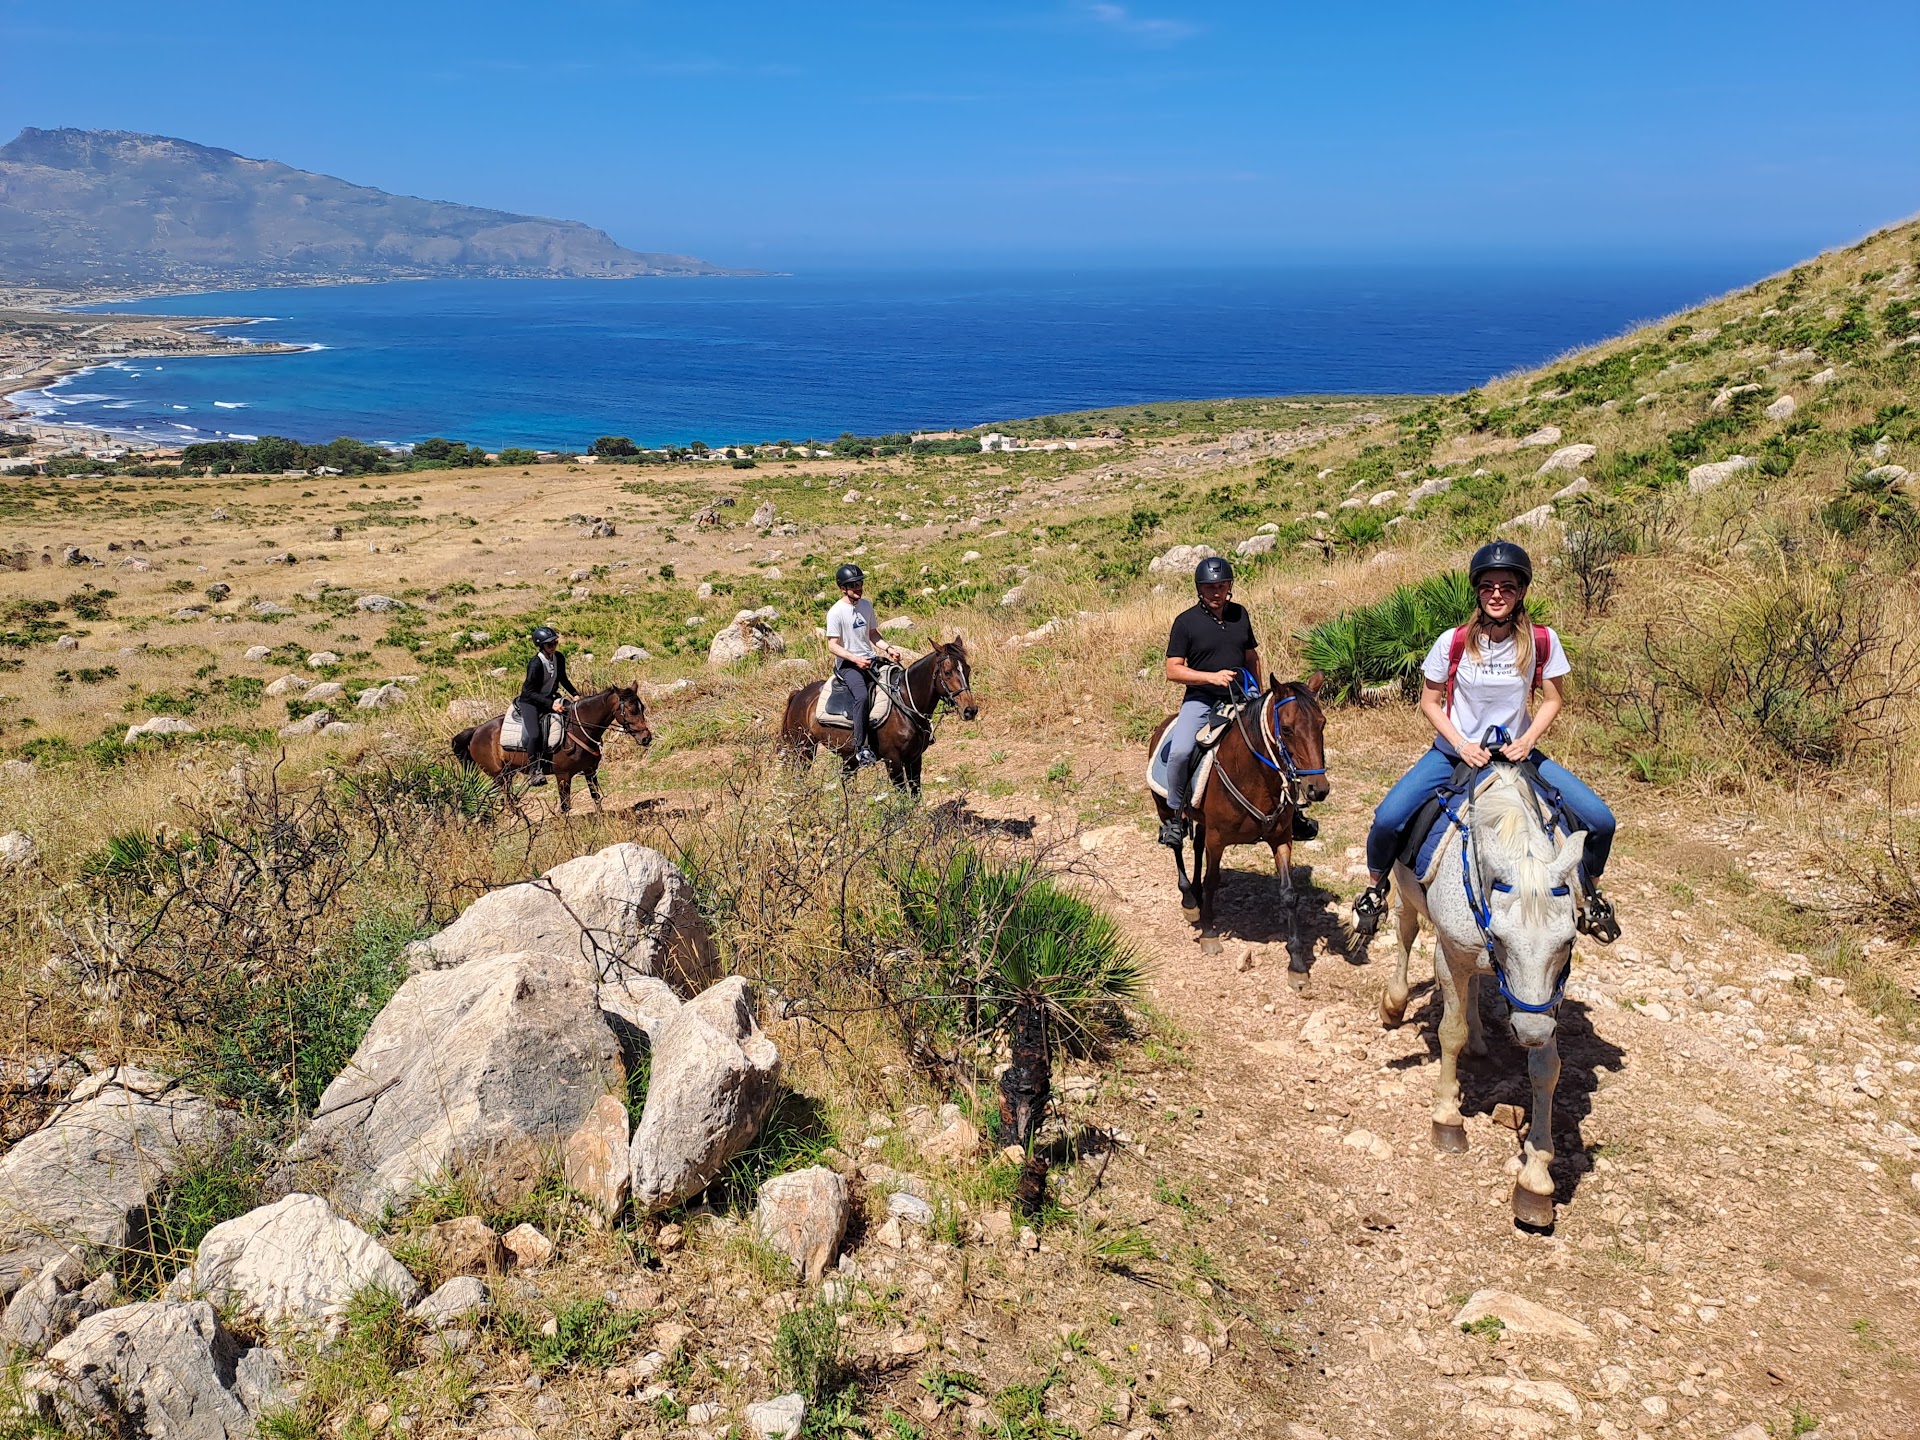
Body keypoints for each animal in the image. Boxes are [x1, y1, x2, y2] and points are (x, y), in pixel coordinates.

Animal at [452, 684, 653, 815]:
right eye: (631, 710)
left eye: (641, 708)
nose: (646, 738)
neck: (578, 729)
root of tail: (476, 731)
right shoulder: (563, 776)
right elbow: (565, 806)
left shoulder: (590, 771)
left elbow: (596, 797)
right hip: (499, 775)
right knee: (507, 800)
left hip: (507, 774)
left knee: (507, 800)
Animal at [778, 638, 979, 793]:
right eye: (947, 672)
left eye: (967, 669)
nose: (970, 710)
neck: (904, 703)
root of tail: (799, 694)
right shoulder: (893, 761)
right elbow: (903, 796)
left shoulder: (915, 759)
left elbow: (915, 795)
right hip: (803, 749)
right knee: (799, 777)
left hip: (847, 757)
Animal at [1148, 675, 1330, 962]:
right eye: (1287, 729)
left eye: (1321, 723)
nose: (1318, 789)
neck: (1254, 775)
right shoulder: (1217, 839)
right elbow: (1212, 881)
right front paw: (1209, 933)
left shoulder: (1281, 838)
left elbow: (1289, 893)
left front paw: (1296, 960)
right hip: (1165, 809)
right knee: (1177, 846)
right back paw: (1190, 900)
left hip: (1202, 821)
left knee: (1196, 846)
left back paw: (1197, 895)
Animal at [1376, 763, 1587, 1228]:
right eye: (1501, 938)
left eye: (1567, 941)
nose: (1529, 1032)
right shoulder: (1449, 954)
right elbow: (1448, 1032)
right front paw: (1447, 1118)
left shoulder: (1551, 993)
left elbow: (1546, 1068)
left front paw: (1535, 1180)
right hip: (1406, 896)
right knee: (1405, 932)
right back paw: (1394, 1005)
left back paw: (1477, 1038)